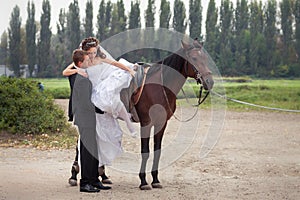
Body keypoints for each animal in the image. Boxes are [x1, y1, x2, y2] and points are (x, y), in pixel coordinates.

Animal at [132, 38, 214, 189]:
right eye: (194, 58)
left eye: (205, 58)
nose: (209, 82)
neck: (159, 87)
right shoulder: (146, 123)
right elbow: (145, 152)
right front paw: (143, 181)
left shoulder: (161, 123)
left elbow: (157, 152)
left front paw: (155, 180)